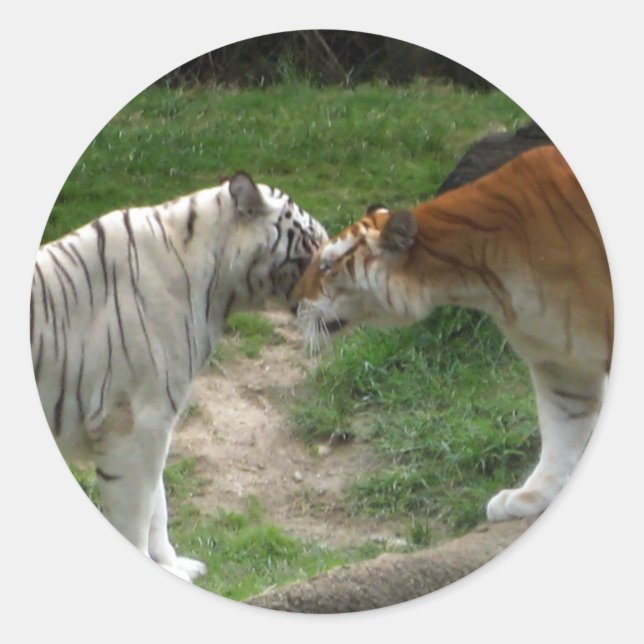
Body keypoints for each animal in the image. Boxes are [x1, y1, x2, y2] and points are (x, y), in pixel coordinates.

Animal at [31, 172, 327, 581]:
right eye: (314, 246)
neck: (217, 288)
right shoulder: (136, 423)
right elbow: (138, 511)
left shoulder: (155, 422)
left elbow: (158, 503)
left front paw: (173, 567)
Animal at [291, 145, 612, 522]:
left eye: (327, 267)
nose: (292, 304)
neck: (480, 278)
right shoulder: (558, 362)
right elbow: (561, 432)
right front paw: (530, 496)